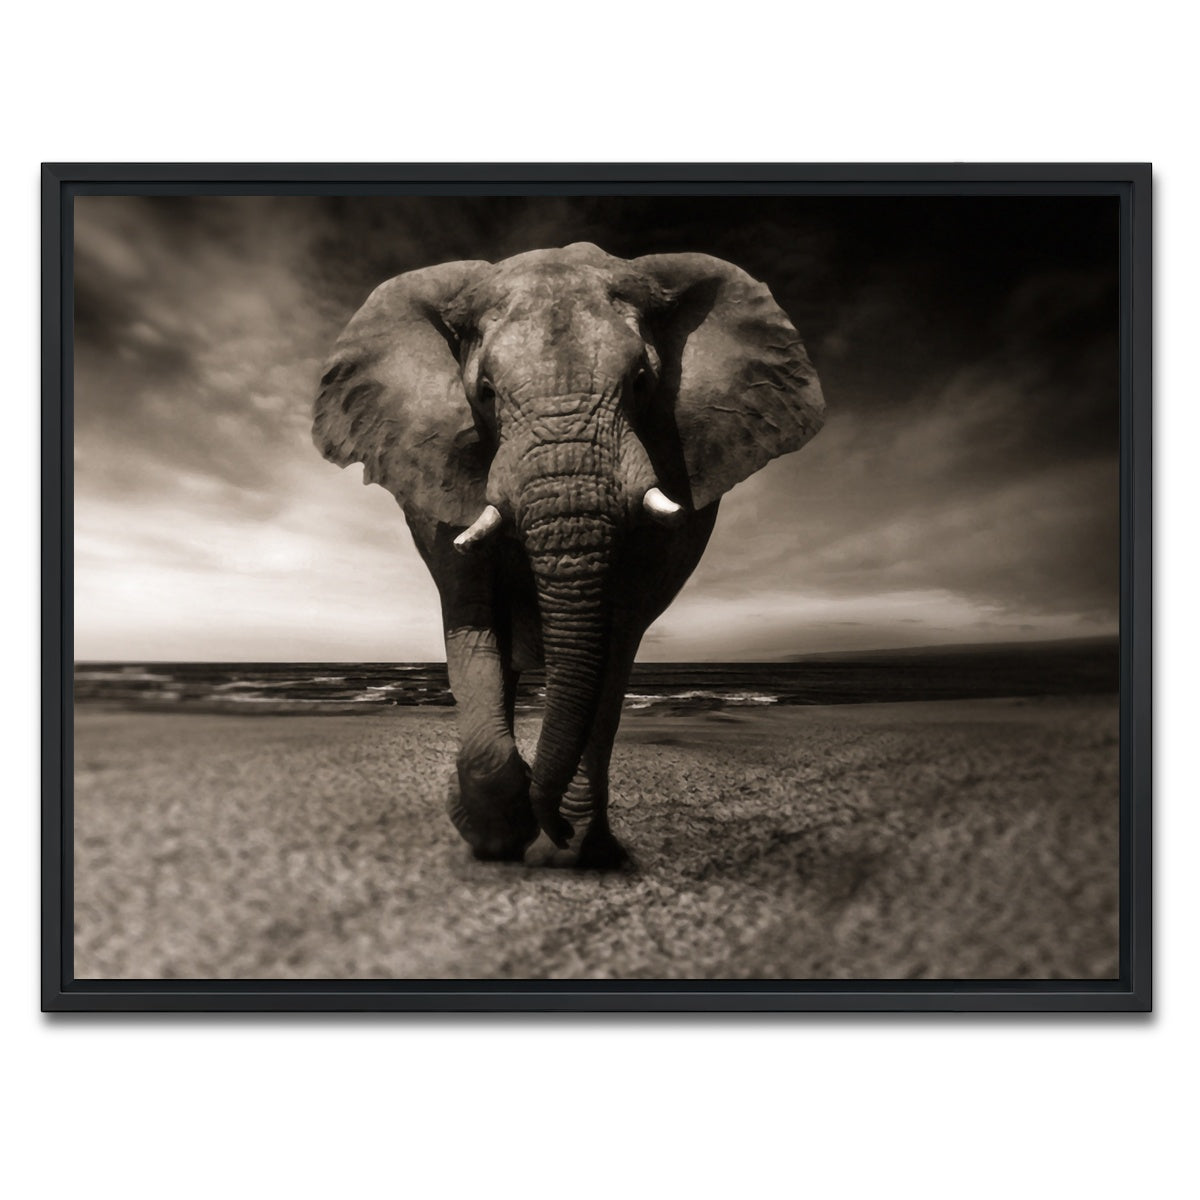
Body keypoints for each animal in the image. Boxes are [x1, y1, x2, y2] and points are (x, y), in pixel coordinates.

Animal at [312, 242, 824, 868]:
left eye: (641, 382)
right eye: (484, 392)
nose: (550, 825)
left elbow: (616, 634)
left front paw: (569, 842)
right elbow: (473, 616)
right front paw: (497, 835)